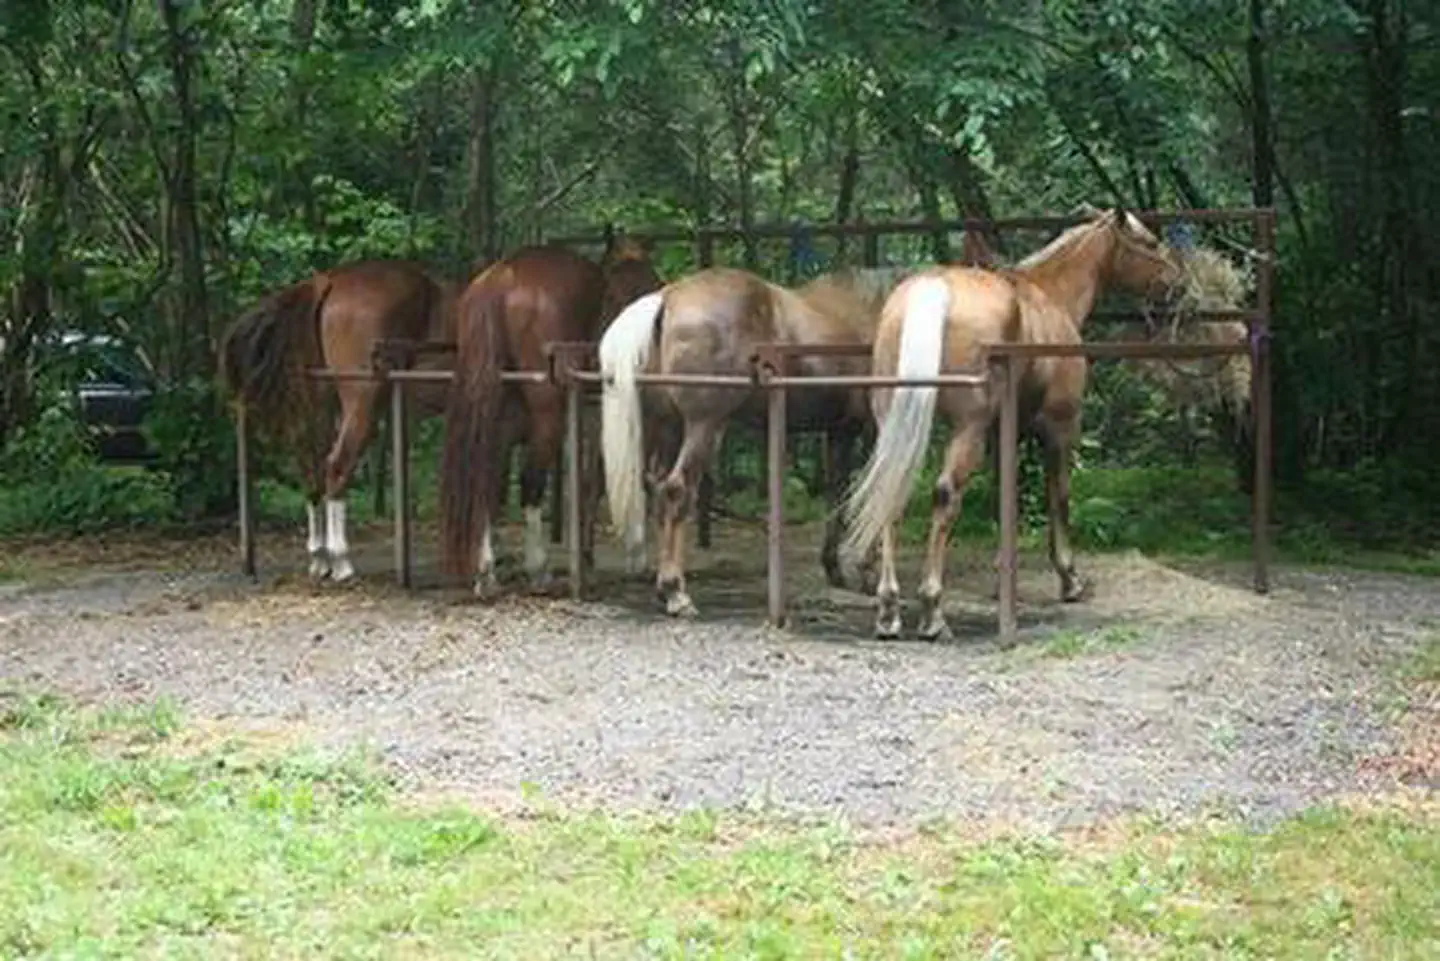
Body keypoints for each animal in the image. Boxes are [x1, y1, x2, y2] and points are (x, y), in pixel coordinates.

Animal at [219, 258, 457, 582]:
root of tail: (327, 281)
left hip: (322, 404)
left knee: (312, 469)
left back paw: (320, 559)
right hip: (362, 402)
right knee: (337, 466)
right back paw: (341, 561)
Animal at [438, 232, 661, 596]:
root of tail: (503, 277)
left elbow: (592, 482)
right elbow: (617, 475)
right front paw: (632, 555)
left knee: (487, 476)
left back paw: (486, 572)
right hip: (548, 416)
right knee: (530, 481)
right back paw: (538, 569)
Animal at [840, 207, 1185, 641]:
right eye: (1149, 242)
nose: (1177, 282)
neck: (1051, 297)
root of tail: (933, 290)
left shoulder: (1001, 431)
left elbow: (1004, 499)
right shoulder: (1057, 429)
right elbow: (1058, 498)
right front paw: (1069, 578)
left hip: (898, 426)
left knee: (893, 494)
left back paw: (888, 610)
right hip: (965, 431)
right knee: (945, 496)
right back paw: (933, 612)